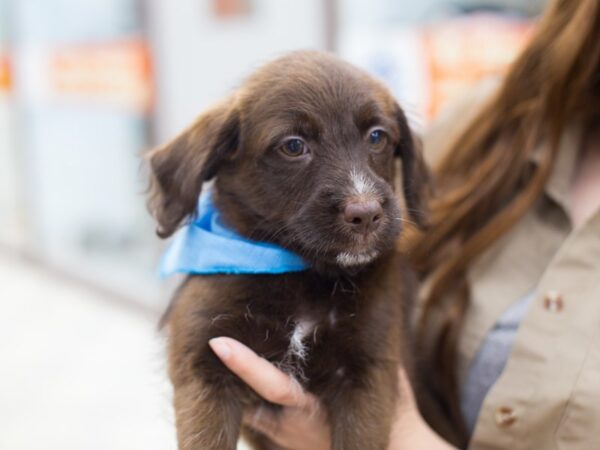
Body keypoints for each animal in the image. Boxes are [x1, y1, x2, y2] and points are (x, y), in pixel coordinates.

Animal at [148, 51, 428, 448]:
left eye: (377, 137)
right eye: (294, 146)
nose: (367, 213)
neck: (302, 274)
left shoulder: (369, 371)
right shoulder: (204, 360)